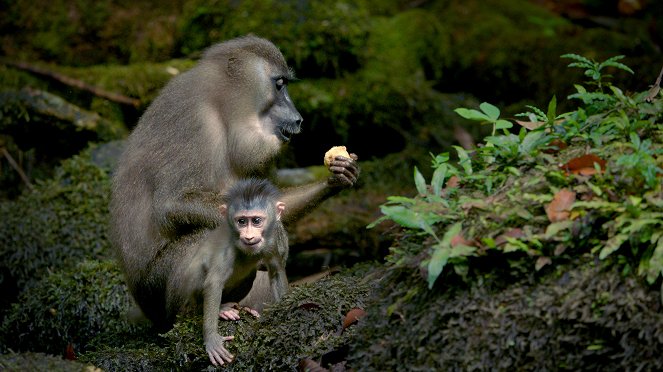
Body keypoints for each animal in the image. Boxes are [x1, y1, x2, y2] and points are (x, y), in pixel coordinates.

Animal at [110, 37, 358, 334]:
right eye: (279, 84)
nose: (297, 118)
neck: (222, 109)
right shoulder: (192, 121)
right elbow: (171, 204)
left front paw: (337, 178)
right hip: (159, 292)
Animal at [192, 178, 288, 366]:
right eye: (241, 221)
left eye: (256, 220)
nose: (249, 236)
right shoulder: (227, 244)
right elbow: (214, 282)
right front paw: (211, 338)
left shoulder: (274, 238)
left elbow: (276, 271)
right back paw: (222, 309)